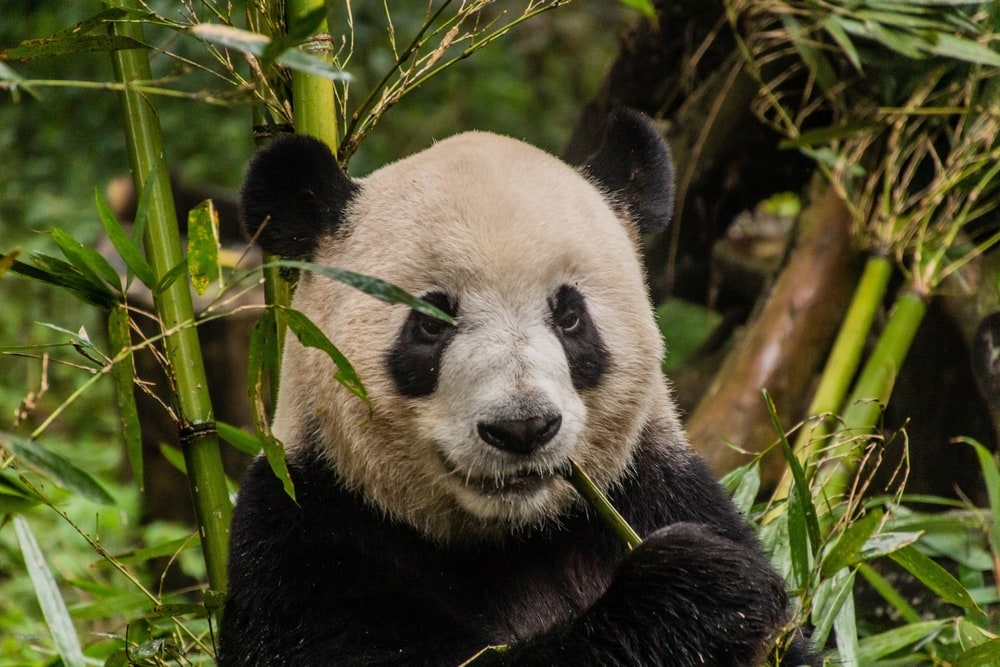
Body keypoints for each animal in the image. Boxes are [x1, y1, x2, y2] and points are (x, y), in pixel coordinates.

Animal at [219, 110, 818, 666]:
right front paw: (695, 584)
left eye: (570, 317)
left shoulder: (656, 487)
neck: (514, 536)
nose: (523, 427)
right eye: (430, 322)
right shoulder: (306, 539)